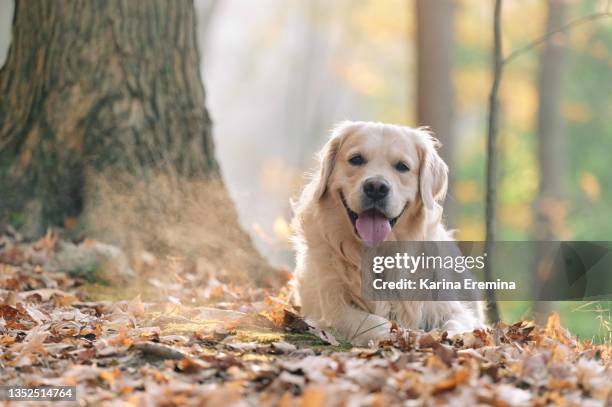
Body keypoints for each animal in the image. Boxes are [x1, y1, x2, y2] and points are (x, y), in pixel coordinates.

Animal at [294, 122, 486, 348]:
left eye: (402, 166)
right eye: (356, 159)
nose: (376, 187)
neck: (378, 252)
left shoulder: (449, 307)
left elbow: (457, 322)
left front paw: (449, 337)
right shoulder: (333, 305)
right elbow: (371, 322)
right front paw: (399, 335)